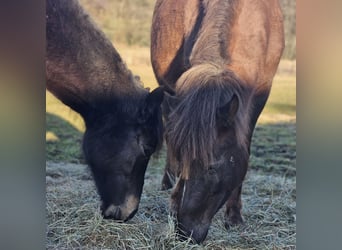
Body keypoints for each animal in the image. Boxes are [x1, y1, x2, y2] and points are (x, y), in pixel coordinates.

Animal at [151, 0, 284, 243]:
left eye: (212, 168)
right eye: (185, 160)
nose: (184, 232)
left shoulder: (257, 101)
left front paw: (234, 216)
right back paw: (167, 182)